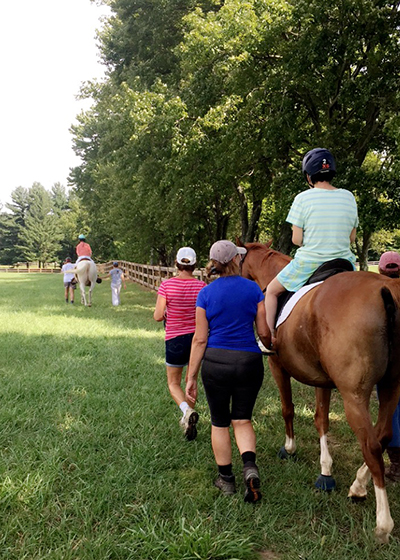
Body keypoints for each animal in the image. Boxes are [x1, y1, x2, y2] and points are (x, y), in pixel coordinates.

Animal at [239, 242, 400, 544]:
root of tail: (386, 290)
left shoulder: (277, 365)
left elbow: (288, 408)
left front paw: (290, 448)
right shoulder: (322, 381)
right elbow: (321, 420)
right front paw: (325, 470)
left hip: (354, 395)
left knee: (372, 445)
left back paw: (382, 523)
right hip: (390, 386)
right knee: (383, 435)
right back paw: (358, 485)